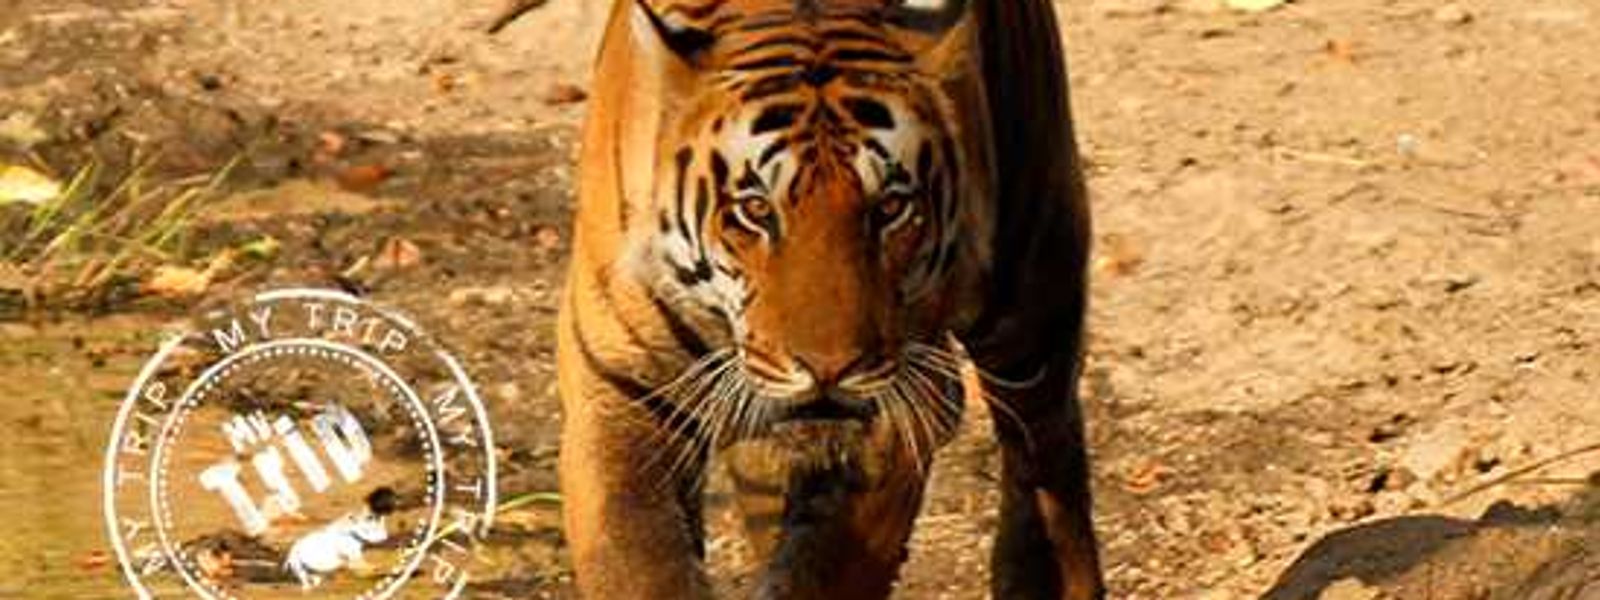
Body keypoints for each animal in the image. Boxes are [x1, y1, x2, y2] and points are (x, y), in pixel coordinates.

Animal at [556, 0, 1103, 598]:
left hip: (1032, 281)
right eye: (755, 209)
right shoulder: (618, 389)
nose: (829, 369)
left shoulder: (898, 412)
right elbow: (634, 557)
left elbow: (824, 567)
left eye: (890, 208)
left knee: (1043, 443)